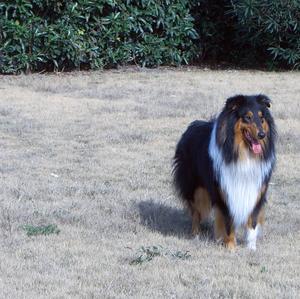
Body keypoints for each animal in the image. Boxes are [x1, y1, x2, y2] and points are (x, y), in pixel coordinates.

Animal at [173, 95, 276, 250]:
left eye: (261, 117)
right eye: (247, 117)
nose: (262, 135)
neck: (243, 153)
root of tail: (192, 126)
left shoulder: (257, 190)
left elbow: (252, 220)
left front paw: (251, 248)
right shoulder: (225, 191)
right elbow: (228, 222)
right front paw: (231, 247)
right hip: (194, 187)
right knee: (196, 212)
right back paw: (195, 234)